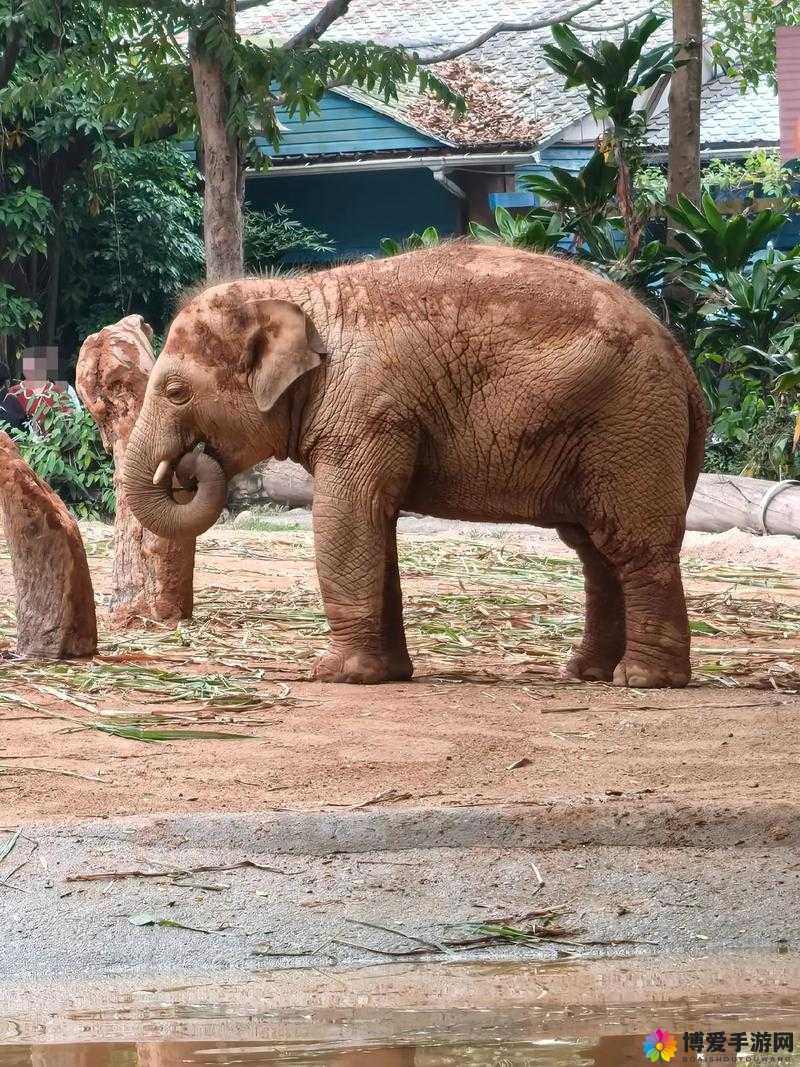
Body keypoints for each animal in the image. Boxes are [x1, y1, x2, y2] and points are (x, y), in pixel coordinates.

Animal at [123, 243, 707, 687]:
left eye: (175, 392)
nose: (190, 462)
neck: (298, 293)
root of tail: (682, 363)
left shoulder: (368, 409)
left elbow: (347, 518)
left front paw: (335, 674)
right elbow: (375, 527)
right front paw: (385, 674)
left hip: (629, 427)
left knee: (631, 543)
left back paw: (644, 680)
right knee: (594, 549)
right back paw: (588, 673)